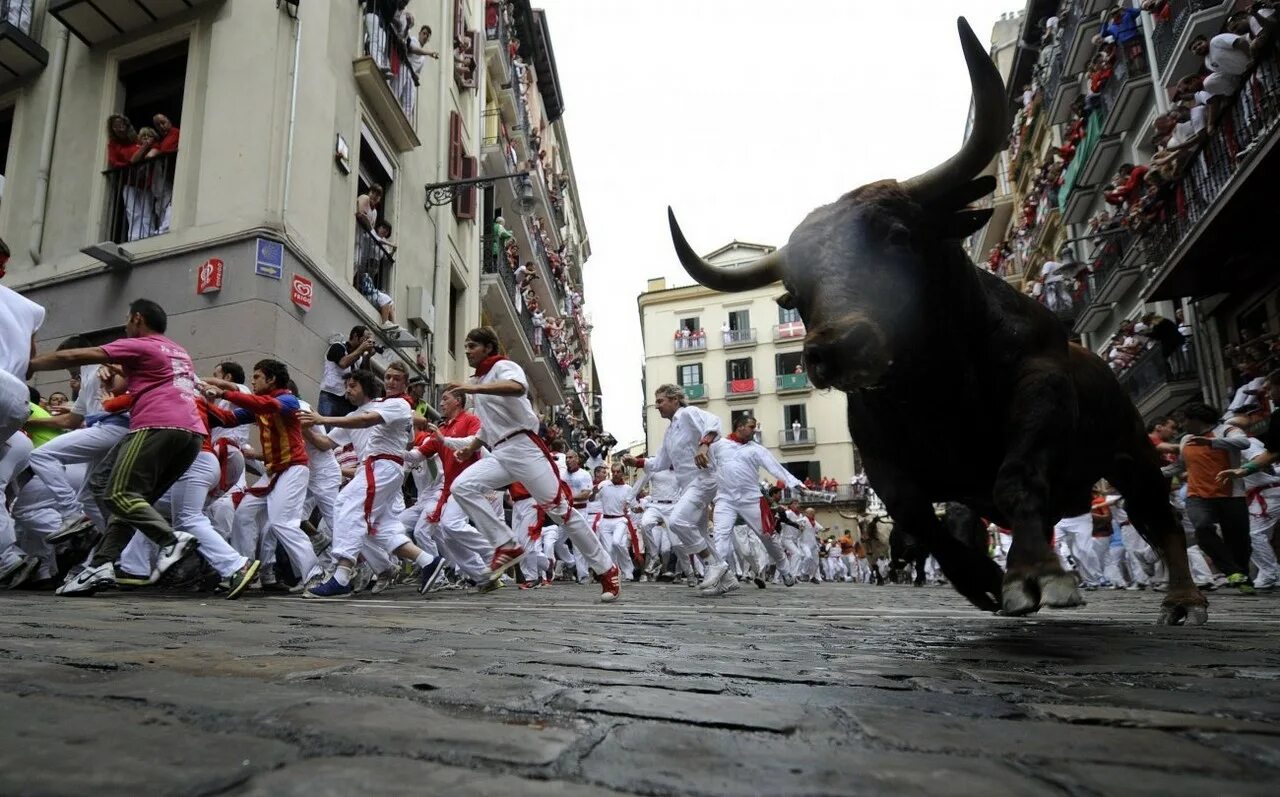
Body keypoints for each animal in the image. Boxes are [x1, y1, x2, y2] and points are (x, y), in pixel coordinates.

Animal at [670, 17, 1208, 624]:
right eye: (794, 291)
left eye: (899, 236)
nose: (834, 349)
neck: (936, 385)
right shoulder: (882, 453)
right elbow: (919, 518)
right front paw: (983, 579)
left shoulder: (1041, 390)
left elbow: (1018, 475)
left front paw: (1033, 574)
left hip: (1131, 449)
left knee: (1157, 517)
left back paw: (1183, 599)